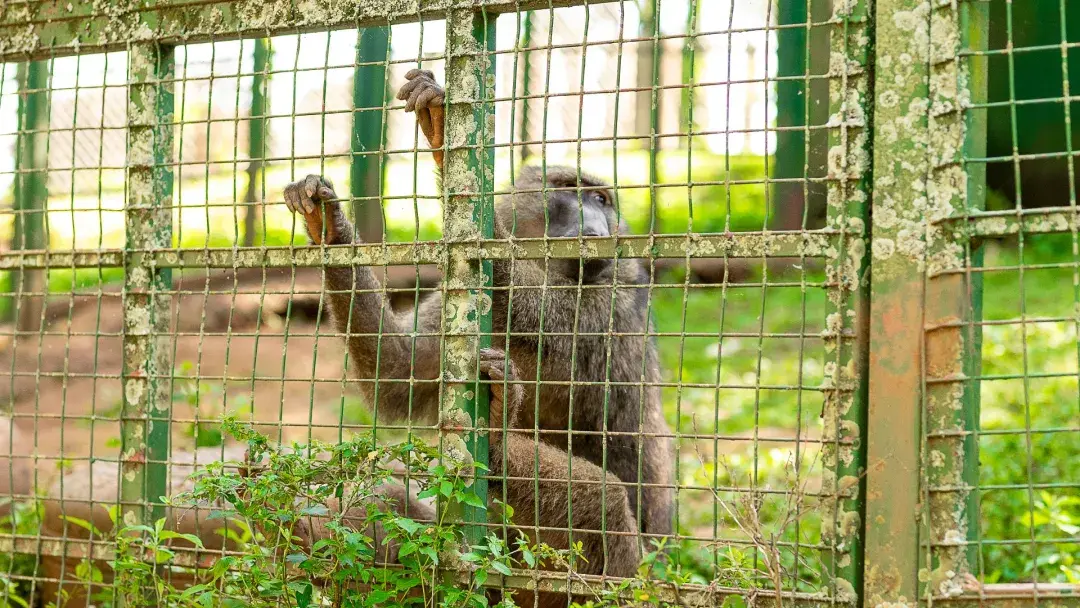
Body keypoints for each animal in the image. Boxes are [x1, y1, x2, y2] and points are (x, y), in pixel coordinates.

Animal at [277, 69, 674, 585]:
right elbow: (397, 377)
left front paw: (447, 145)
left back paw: (497, 433)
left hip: (612, 569)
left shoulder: (619, 291)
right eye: (570, 191)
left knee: (602, 500)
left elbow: (552, 321)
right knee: (388, 500)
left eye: (602, 199)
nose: (597, 219)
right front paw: (329, 225)